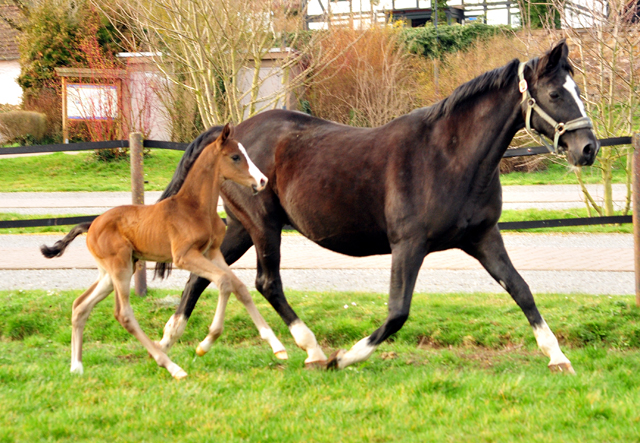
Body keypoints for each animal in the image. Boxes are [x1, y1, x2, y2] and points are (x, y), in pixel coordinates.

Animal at [41, 123, 286, 380]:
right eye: (236, 157)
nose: (262, 180)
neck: (195, 207)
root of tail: (91, 225)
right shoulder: (184, 256)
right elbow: (224, 282)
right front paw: (207, 342)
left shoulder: (212, 252)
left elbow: (239, 287)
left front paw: (278, 347)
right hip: (120, 268)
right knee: (123, 314)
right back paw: (172, 367)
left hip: (112, 272)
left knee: (80, 306)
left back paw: (76, 367)